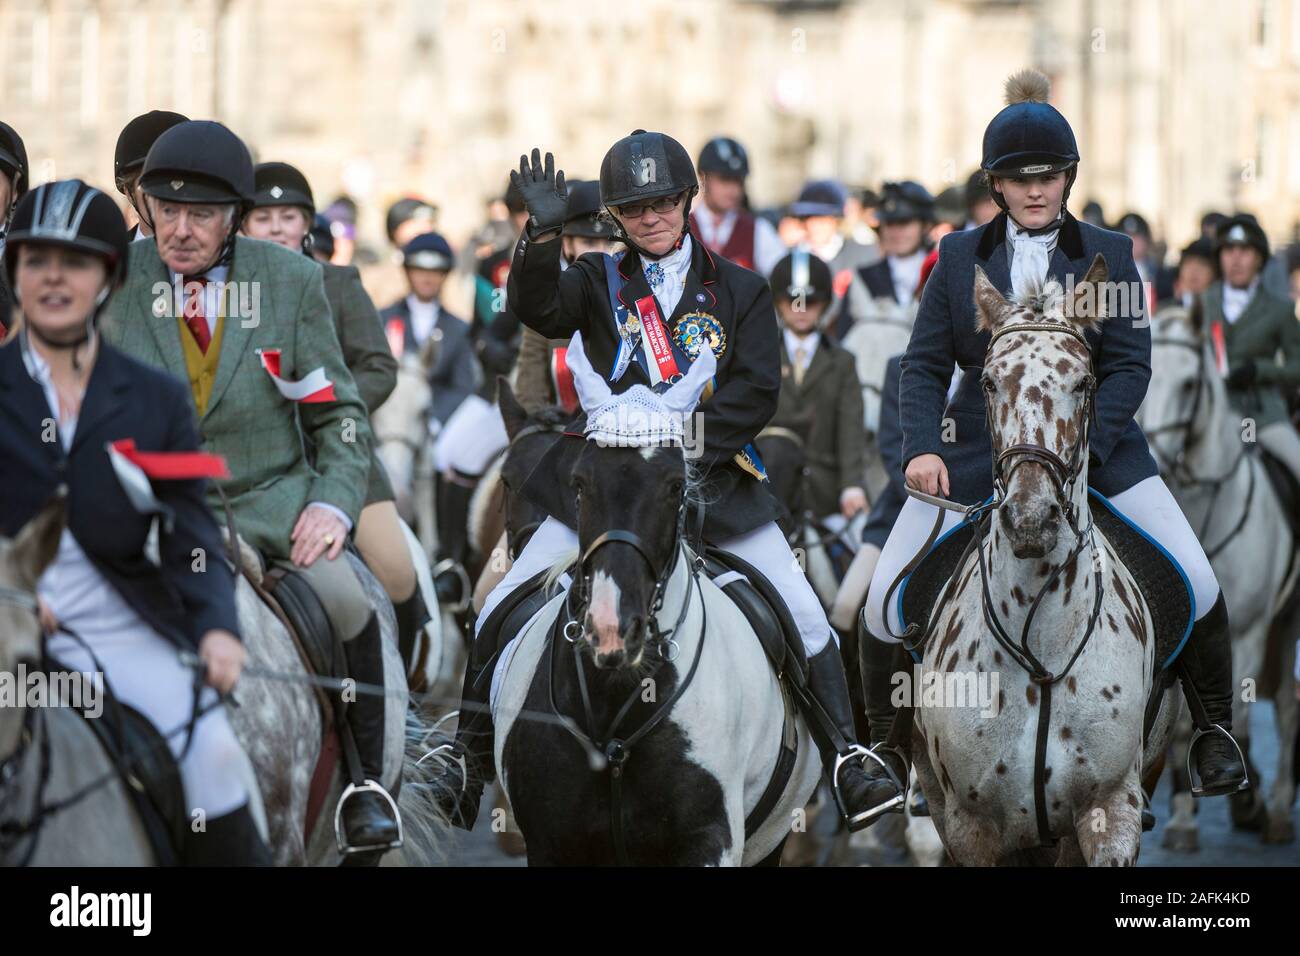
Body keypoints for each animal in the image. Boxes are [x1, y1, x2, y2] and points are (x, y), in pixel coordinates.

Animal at [915, 261, 1180, 868]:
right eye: (989, 383)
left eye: (1083, 384)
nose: (1031, 519)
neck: (1040, 648)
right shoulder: (969, 826)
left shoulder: (1112, 809)